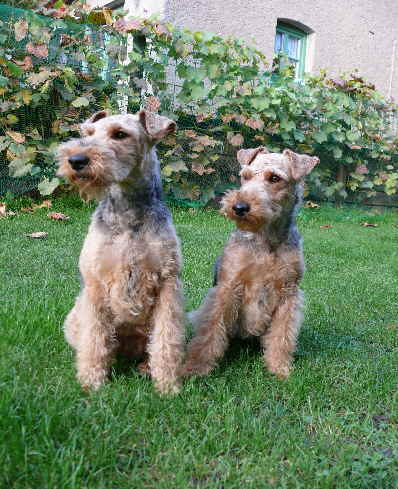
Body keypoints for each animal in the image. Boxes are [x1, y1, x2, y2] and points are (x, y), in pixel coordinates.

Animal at [185, 147, 318, 380]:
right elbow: (210, 332)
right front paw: (195, 367)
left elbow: (282, 335)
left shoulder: (288, 293)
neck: (266, 239)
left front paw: (279, 368)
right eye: (244, 176)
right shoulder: (228, 287)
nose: (239, 207)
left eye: (274, 178)